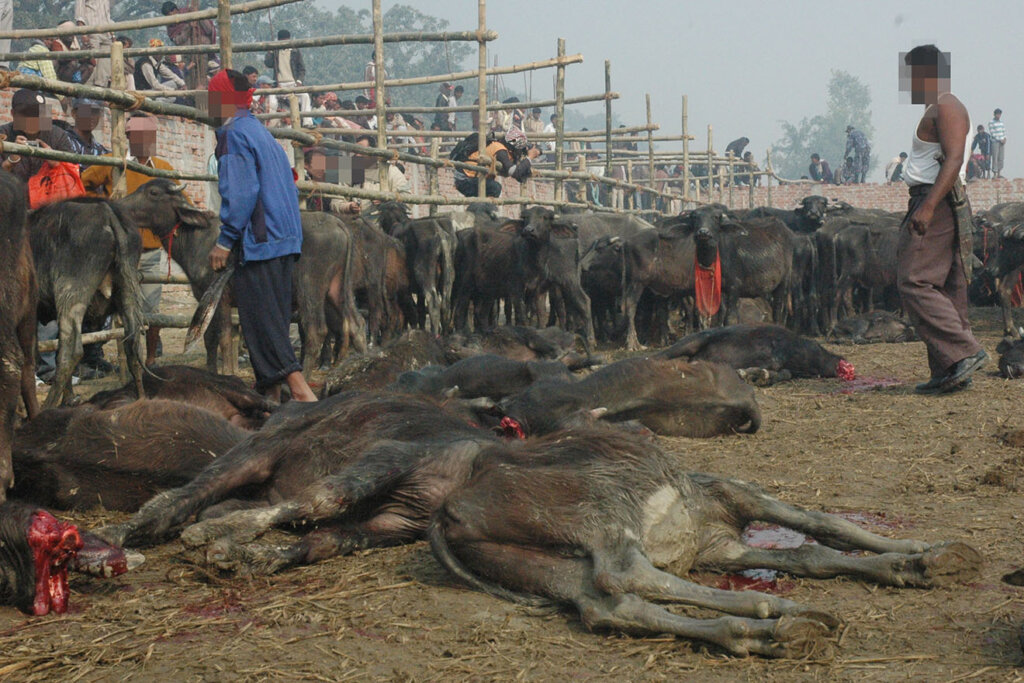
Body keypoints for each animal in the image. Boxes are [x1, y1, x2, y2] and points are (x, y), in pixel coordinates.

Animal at [428, 428, 978, 655]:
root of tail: (447, 509)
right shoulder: (732, 492)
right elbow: (821, 522)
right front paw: (922, 551)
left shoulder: (718, 544)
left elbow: (810, 553)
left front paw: (913, 564)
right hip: (598, 505)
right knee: (625, 573)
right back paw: (777, 615)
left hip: (534, 565)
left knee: (608, 604)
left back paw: (765, 632)